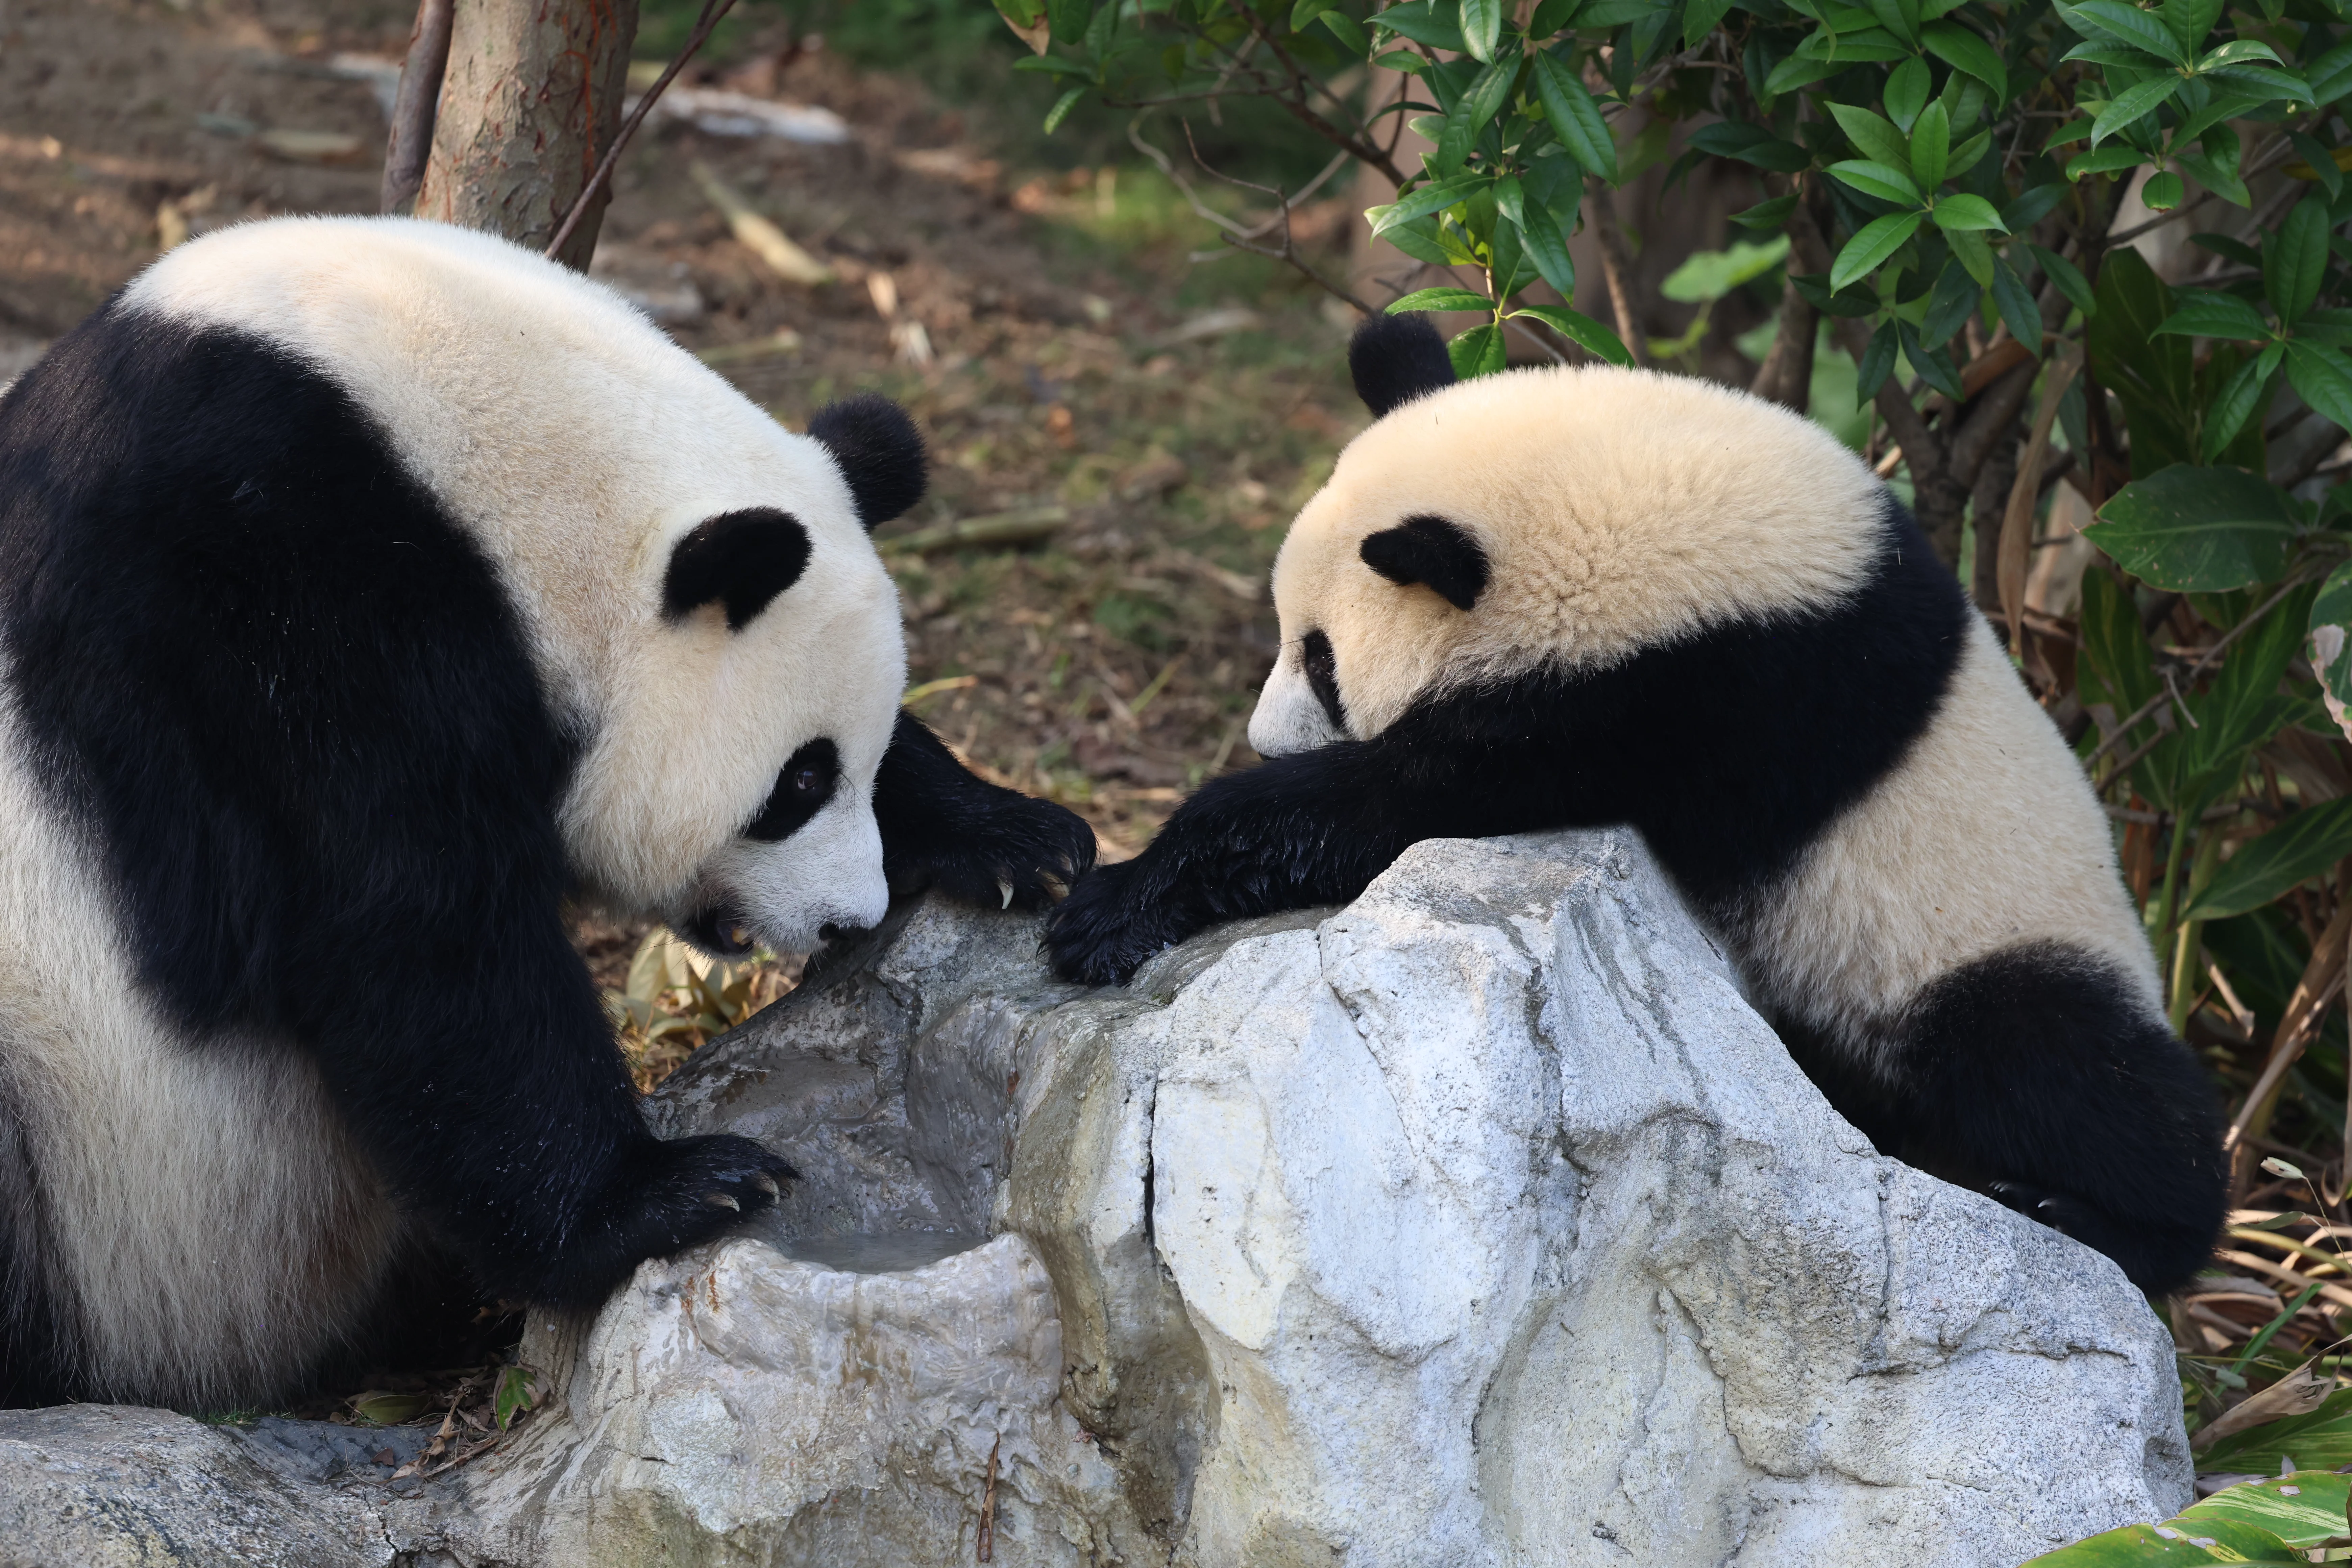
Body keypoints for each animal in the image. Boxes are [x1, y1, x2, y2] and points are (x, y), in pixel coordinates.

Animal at [0, 216, 1094, 1409]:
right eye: (798, 784)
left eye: (860, 751)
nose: (850, 918)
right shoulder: (271, 608)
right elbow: (409, 927)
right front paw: (668, 1195)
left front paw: (1015, 840)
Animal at [1048, 312, 2225, 1296]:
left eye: (1323, 660)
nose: (1262, 734)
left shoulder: (1701, 695)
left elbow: (1403, 801)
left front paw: (1116, 901)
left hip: (1983, 936)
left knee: (2062, 1068)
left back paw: (2104, 1218)